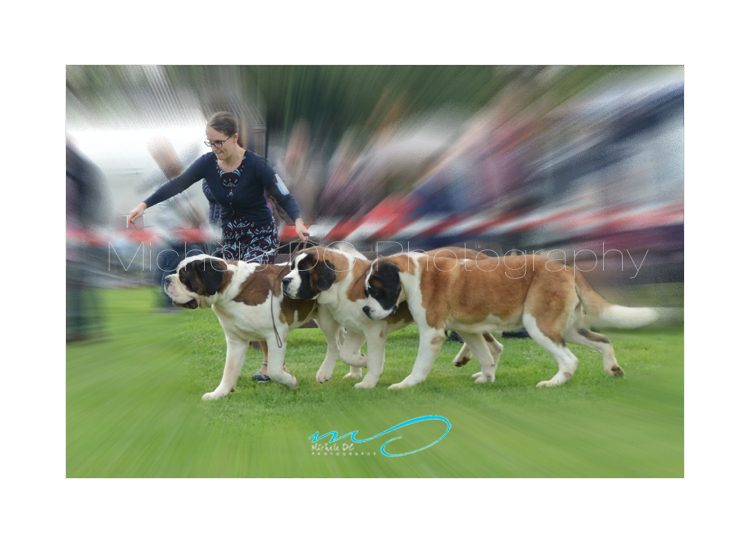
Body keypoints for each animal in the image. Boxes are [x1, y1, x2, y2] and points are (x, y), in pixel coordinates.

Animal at [163, 255, 368, 400]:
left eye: (184, 277)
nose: (166, 279)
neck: (230, 289)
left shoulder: (275, 335)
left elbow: (275, 371)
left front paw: (291, 382)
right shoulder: (236, 341)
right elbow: (229, 369)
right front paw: (219, 393)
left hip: (326, 317)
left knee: (335, 346)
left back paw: (328, 372)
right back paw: (355, 372)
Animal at [282, 246, 506, 392]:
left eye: (303, 270)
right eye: (291, 267)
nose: (284, 280)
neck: (345, 284)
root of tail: (480, 254)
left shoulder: (374, 331)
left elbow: (368, 357)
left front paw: (369, 376)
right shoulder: (355, 329)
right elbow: (346, 354)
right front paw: (363, 361)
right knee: (495, 345)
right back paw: (482, 370)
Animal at [362, 255, 660, 392]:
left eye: (375, 290)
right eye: (365, 291)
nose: (365, 309)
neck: (411, 275)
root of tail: (566, 269)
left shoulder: (432, 333)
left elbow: (420, 365)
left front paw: (407, 384)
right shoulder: (470, 331)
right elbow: (485, 356)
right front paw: (487, 378)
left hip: (539, 324)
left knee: (570, 359)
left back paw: (554, 383)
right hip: (568, 328)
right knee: (603, 341)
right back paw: (613, 369)